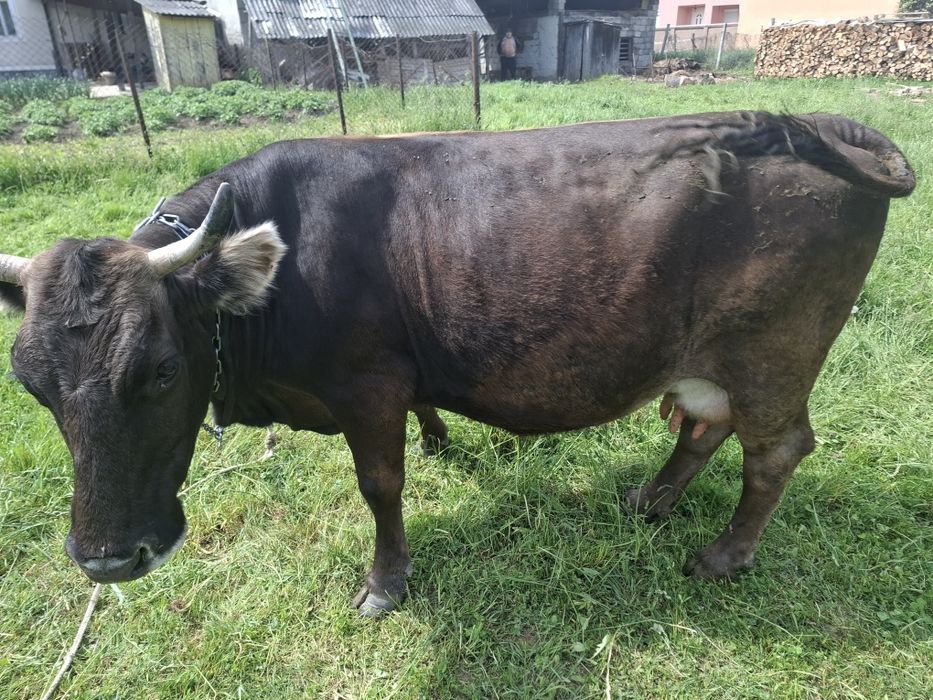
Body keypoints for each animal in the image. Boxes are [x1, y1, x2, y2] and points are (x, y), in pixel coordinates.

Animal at [0, 112, 914, 616]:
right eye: (30, 387)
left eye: (160, 369)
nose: (105, 560)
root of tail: (812, 125)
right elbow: (424, 417)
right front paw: (441, 439)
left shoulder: (365, 384)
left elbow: (379, 485)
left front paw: (385, 583)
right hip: (714, 358)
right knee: (700, 425)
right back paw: (649, 501)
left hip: (774, 353)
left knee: (776, 451)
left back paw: (720, 557)